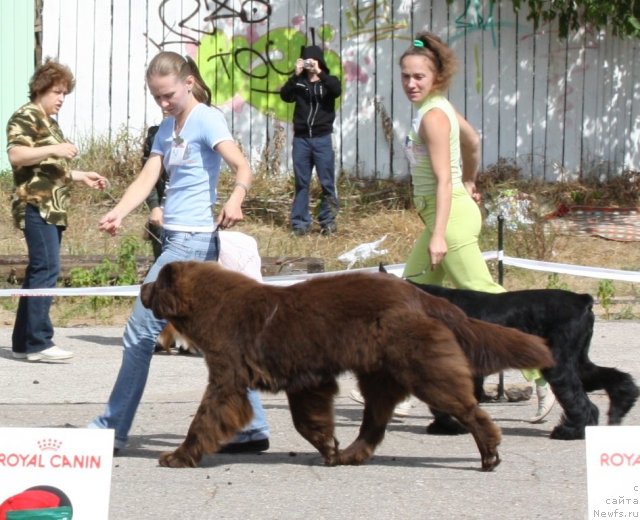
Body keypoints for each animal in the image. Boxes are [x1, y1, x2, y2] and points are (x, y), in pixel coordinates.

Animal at [142, 262, 552, 470]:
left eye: (156, 281)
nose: (141, 290)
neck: (210, 305)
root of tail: (423, 298)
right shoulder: (304, 377)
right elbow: (308, 417)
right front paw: (327, 446)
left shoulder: (228, 371)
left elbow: (208, 415)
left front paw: (177, 456)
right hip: (379, 372)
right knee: (376, 419)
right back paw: (351, 454)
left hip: (419, 364)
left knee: (464, 406)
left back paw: (490, 453)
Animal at [408, 280, 636, 438]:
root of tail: (582, 299)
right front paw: (445, 426)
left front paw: (448, 426)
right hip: (579, 361)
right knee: (609, 379)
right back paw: (619, 408)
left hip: (559, 364)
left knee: (578, 398)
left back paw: (570, 432)